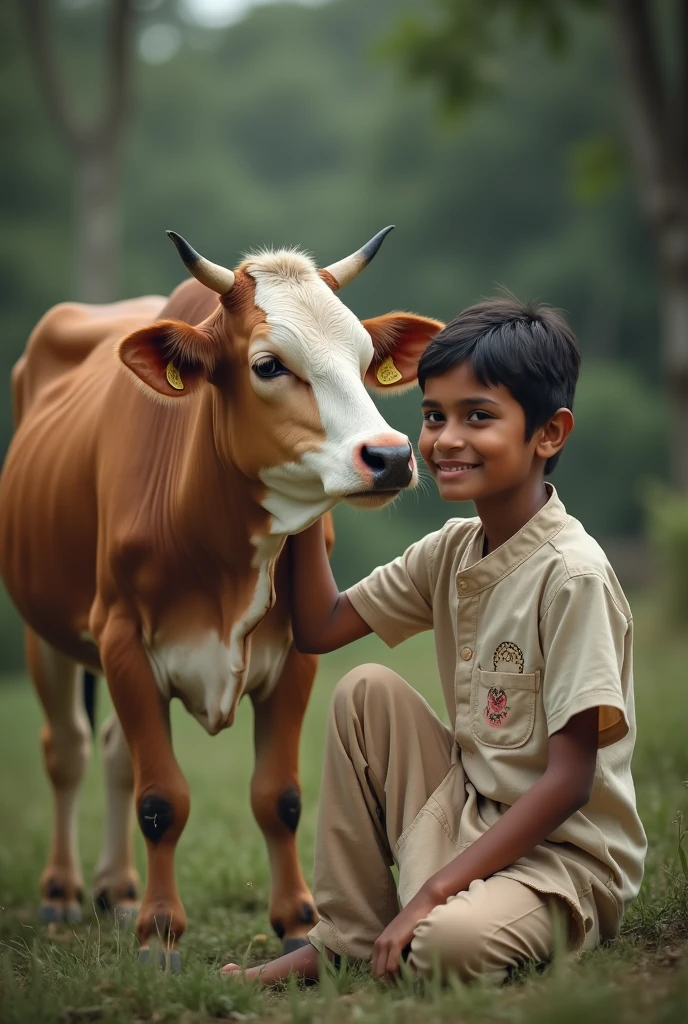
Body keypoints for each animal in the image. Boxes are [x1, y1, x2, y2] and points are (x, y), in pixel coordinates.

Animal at [0, 224, 440, 966]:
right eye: (268, 365)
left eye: (361, 359)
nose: (389, 457)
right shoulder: (120, 637)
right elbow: (161, 800)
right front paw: (160, 932)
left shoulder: (294, 654)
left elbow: (279, 797)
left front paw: (296, 921)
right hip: (45, 631)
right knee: (68, 749)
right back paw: (63, 890)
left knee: (114, 750)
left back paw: (118, 890)